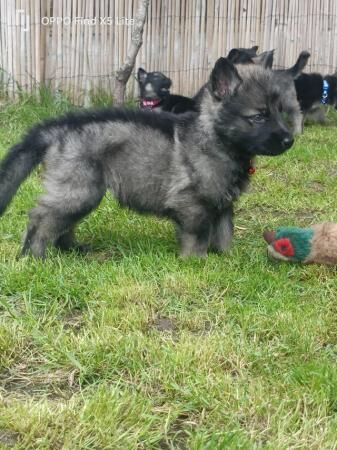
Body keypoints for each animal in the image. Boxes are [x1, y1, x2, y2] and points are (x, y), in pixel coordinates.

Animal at [0, 58, 292, 258]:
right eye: (259, 116)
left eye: (279, 111)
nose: (289, 140)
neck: (215, 138)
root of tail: (59, 127)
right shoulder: (193, 204)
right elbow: (197, 236)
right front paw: (196, 262)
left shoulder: (222, 204)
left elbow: (224, 235)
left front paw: (226, 260)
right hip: (79, 189)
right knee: (41, 217)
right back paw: (35, 257)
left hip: (80, 192)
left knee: (61, 220)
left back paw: (70, 249)